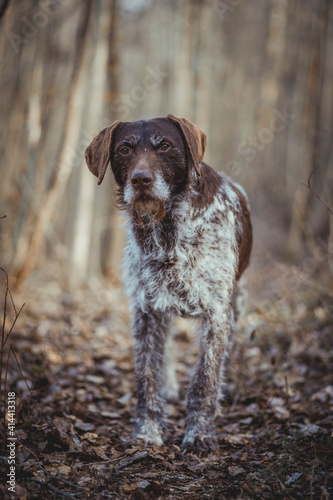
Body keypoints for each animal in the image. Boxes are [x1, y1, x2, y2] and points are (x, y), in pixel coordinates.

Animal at [85, 115, 252, 452]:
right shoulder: (146, 311)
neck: (167, 230)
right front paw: (147, 432)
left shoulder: (217, 313)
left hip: (237, 303)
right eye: (124, 149)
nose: (141, 180)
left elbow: (205, 379)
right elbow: (147, 377)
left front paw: (199, 433)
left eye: (164, 146)